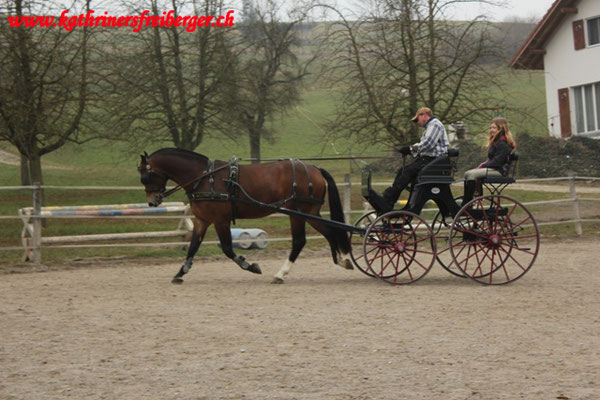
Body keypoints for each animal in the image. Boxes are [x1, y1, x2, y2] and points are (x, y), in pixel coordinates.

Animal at [138, 148, 354, 282]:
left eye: (145, 175)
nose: (152, 201)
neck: (205, 178)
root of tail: (314, 168)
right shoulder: (202, 220)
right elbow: (192, 247)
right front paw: (180, 273)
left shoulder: (220, 220)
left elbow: (227, 248)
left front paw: (250, 266)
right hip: (310, 212)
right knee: (330, 231)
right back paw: (343, 260)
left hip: (298, 213)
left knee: (299, 241)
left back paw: (281, 274)